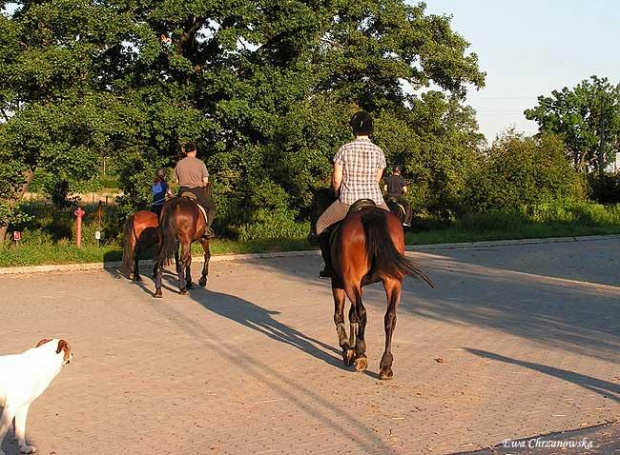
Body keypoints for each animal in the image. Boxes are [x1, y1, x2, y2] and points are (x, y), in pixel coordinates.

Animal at [312, 189, 434, 382]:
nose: (310, 236)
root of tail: (370, 214)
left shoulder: (339, 283)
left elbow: (341, 315)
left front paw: (348, 350)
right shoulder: (359, 285)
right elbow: (352, 315)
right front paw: (352, 347)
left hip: (350, 282)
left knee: (362, 312)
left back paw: (361, 355)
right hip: (392, 281)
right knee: (390, 317)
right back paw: (386, 365)